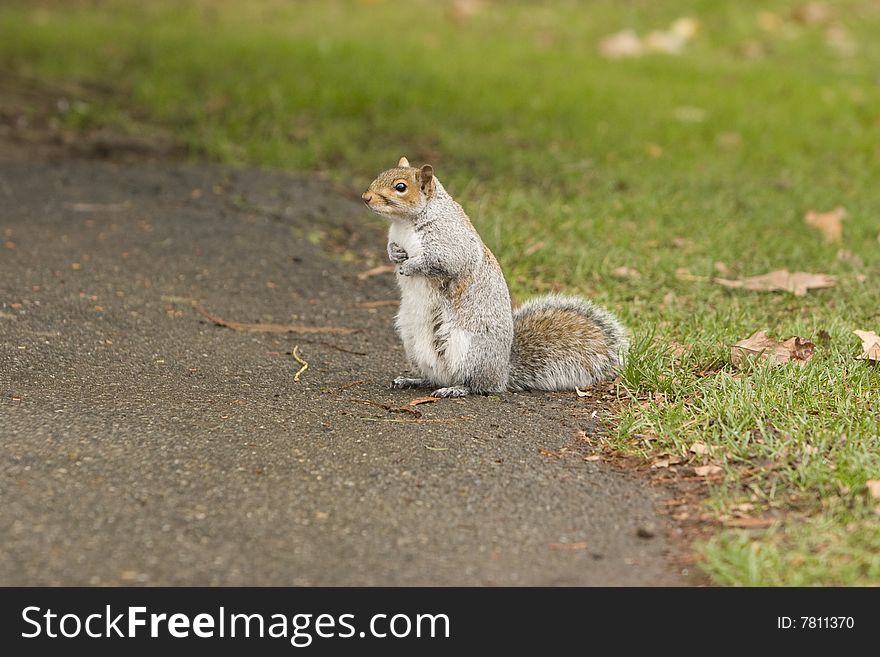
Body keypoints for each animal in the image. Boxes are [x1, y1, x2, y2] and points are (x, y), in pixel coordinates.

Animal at [360, 156, 628, 398]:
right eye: (381, 174)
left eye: (401, 187)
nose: (366, 197)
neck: (405, 223)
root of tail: (503, 373)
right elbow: (391, 248)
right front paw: (395, 254)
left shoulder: (452, 243)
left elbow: (444, 262)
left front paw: (410, 266)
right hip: (413, 343)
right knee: (435, 377)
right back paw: (413, 380)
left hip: (470, 351)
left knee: (478, 385)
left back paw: (456, 389)